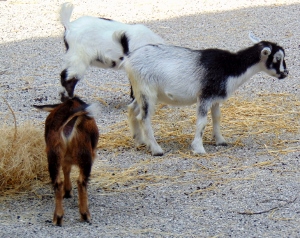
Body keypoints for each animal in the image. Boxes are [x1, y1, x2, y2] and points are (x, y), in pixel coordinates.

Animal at [33, 96, 99, 225]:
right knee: (81, 181)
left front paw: (67, 192)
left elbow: (66, 169)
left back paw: (58, 217)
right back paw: (85, 215)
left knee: (57, 182)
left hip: (54, 153)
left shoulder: (64, 158)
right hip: (85, 154)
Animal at [120, 33, 290, 156]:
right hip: (147, 91)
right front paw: (198, 148)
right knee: (143, 118)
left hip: (141, 93)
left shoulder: (215, 99)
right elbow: (202, 122)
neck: (230, 67)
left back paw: (140, 141)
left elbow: (217, 118)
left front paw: (220, 141)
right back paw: (156, 149)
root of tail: (129, 59)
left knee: (132, 109)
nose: (285, 73)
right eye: (277, 58)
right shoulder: (205, 97)